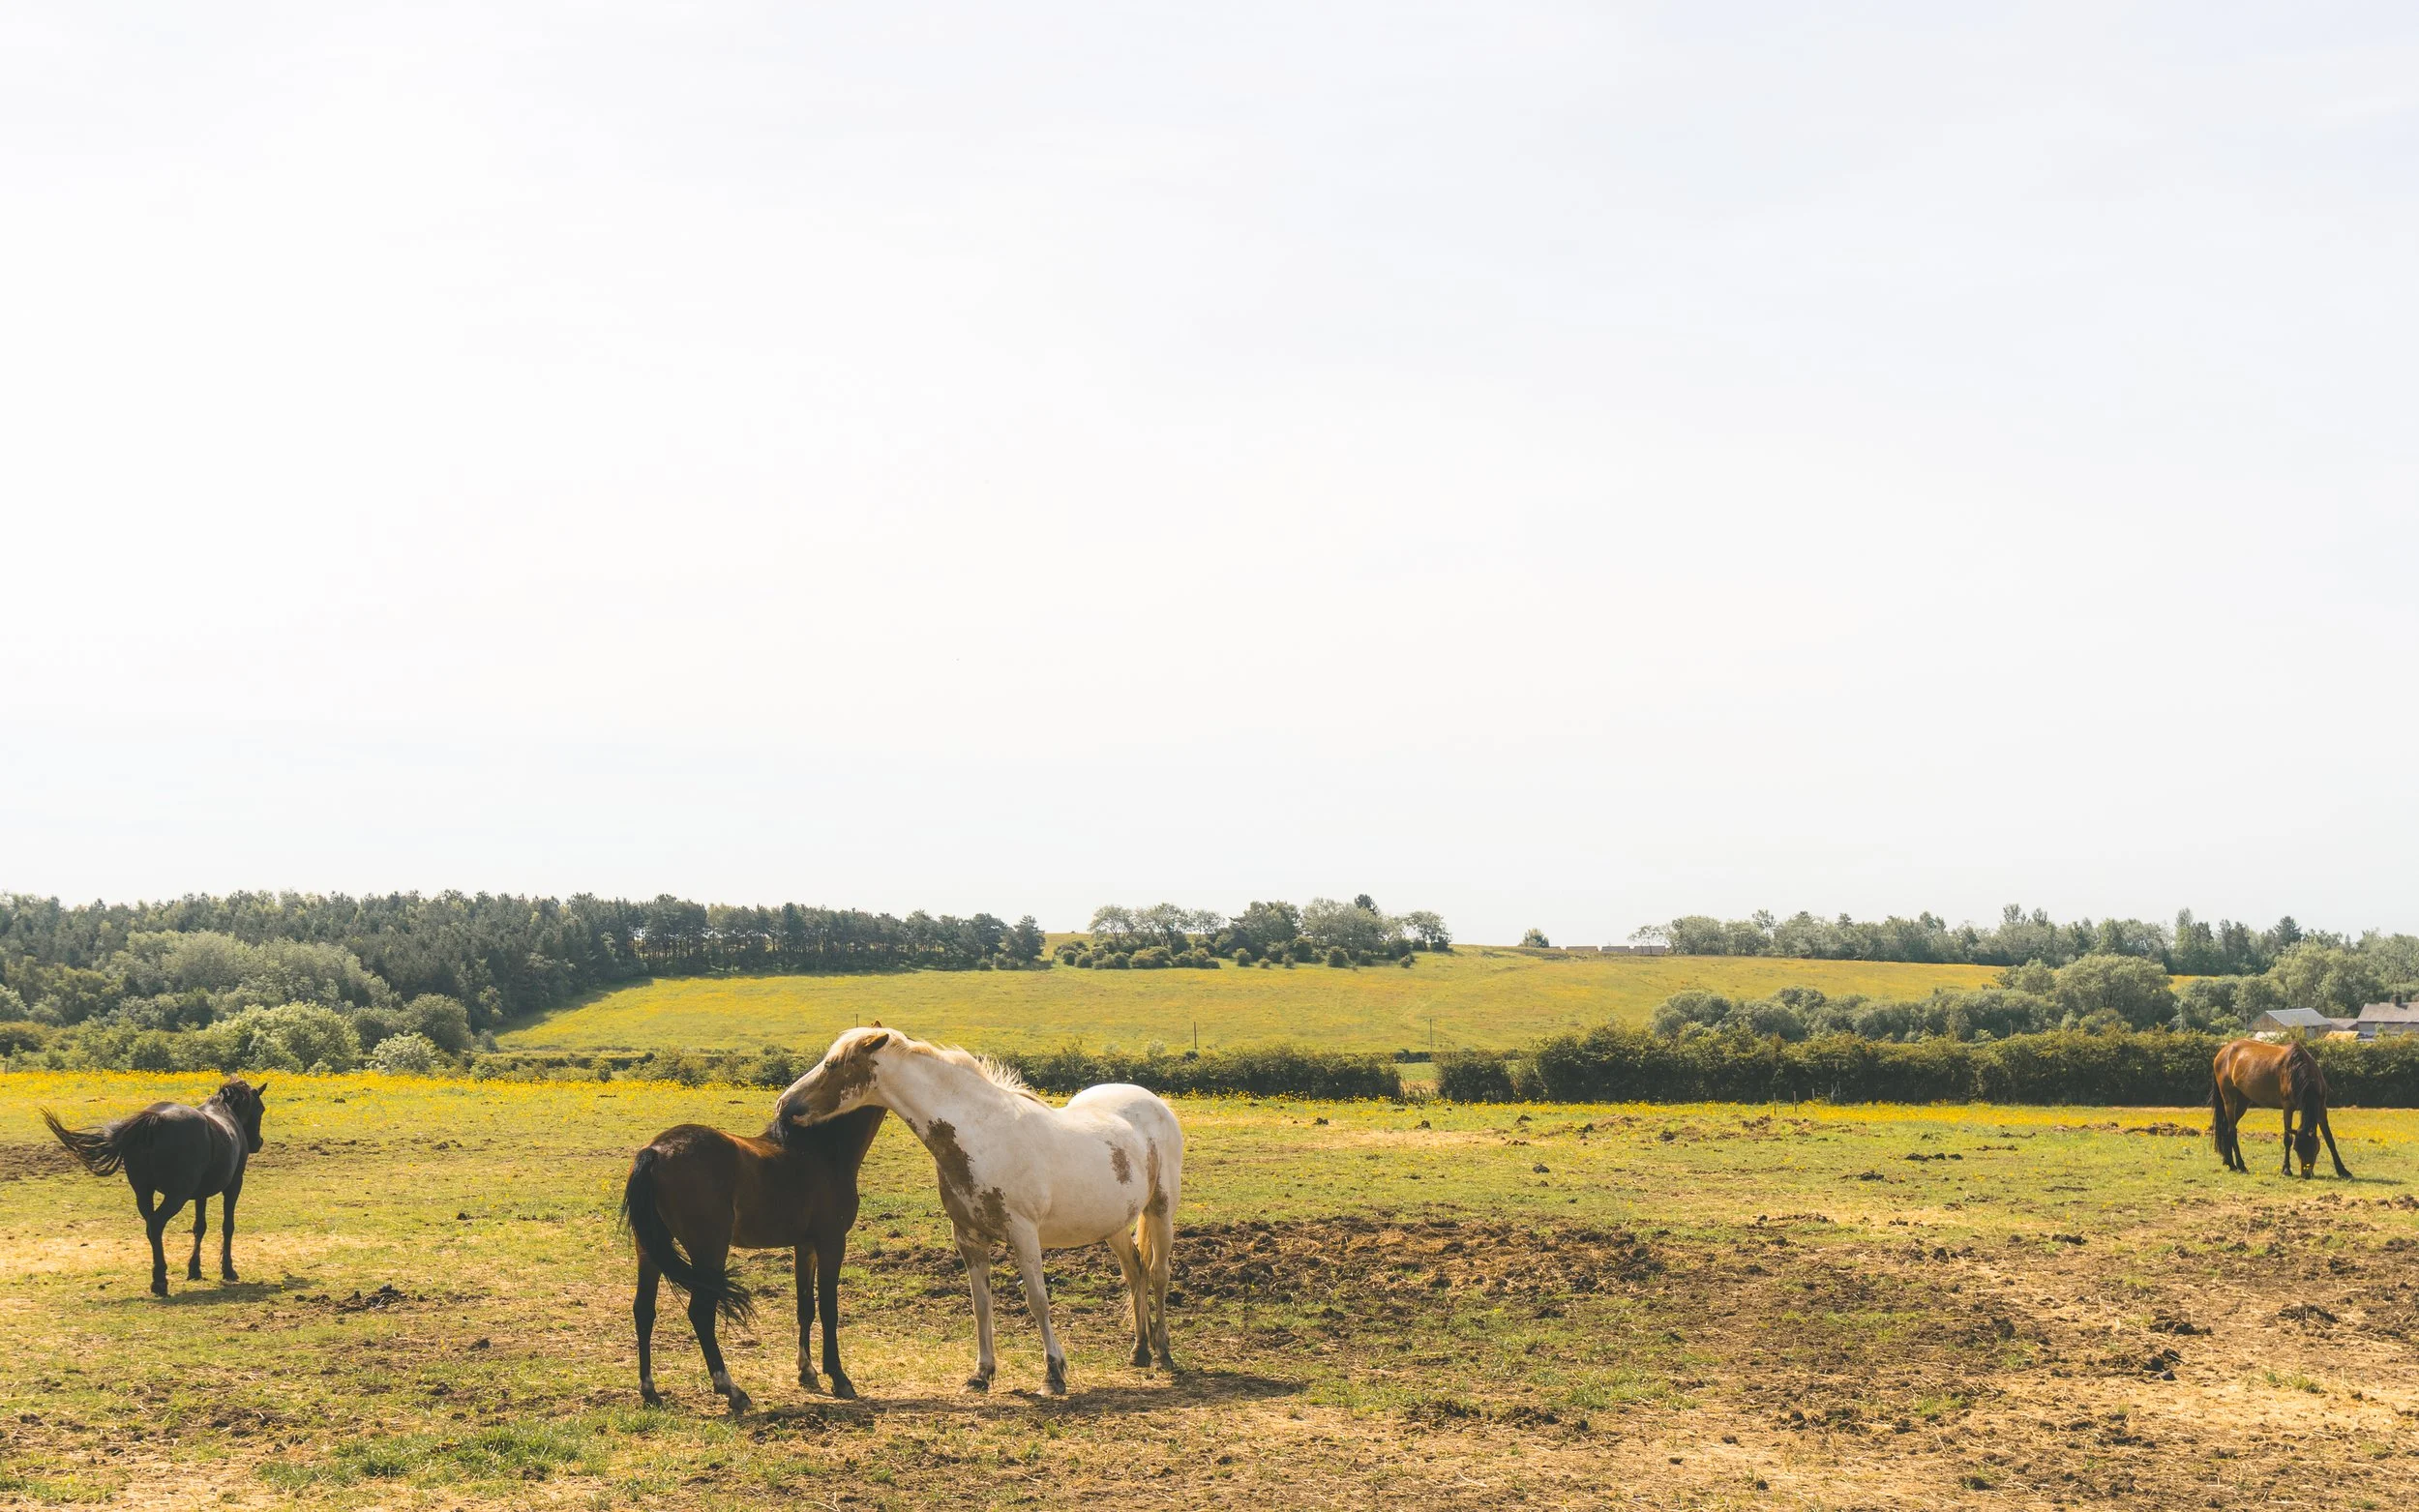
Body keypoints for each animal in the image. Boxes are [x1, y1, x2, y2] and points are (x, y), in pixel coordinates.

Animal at [42, 1077, 268, 1296]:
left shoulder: (200, 1193)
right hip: (177, 1195)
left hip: (144, 1193)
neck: (225, 1113)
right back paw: (160, 1281)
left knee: (151, 1226)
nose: (258, 1142)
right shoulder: (234, 1185)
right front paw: (228, 1270)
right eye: (261, 1109)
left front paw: (195, 1269)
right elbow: (227, 1226)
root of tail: (154, 1119)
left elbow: (199, 1227)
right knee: (157, 1223)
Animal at [618, 1104, 886, 1414]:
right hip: (709, 1250)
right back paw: (732, 1390)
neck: (821, 1151)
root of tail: (656, 1150)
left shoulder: (805, 1247)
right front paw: (840, 1379)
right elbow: (829, 1311)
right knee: (700, 1313)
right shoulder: (832, 1243)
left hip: (650, 1249)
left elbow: (805, 1309)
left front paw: (807, 1372)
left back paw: (650, 1391)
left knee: (643, 1310)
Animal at [775, 1025, 1181, 1395]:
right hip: (1114, 1223)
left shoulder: (1023, 1234)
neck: (982, 1135)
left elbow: (1038, 1301)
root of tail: (1153, 1102)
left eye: (834, 1064)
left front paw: (1054, 1373)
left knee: (1159, 1274)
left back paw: (1163, 1352)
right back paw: (1139, 1351)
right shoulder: (968, 1237)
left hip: (1160, 1211)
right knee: (1135, 1272)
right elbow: (981, 1305)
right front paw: (982, 1374)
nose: (785, 1106)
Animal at [2211, 1038, 2351, 1178]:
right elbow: (2287, 1139)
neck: (2298, 1070)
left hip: (2242, 1102)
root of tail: (2223, 1051)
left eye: (2314, 1147)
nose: (2306, 1175)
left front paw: (2343, 1170)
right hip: (2229, 1099)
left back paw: (2230, 1163)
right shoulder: (2287, 1107)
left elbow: (2329, 1139)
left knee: (2226, 1129)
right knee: (2232, 1131)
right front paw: (2286, 1169)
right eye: (2297, 1149)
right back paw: (2240, 1165)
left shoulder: (2321, 1108)